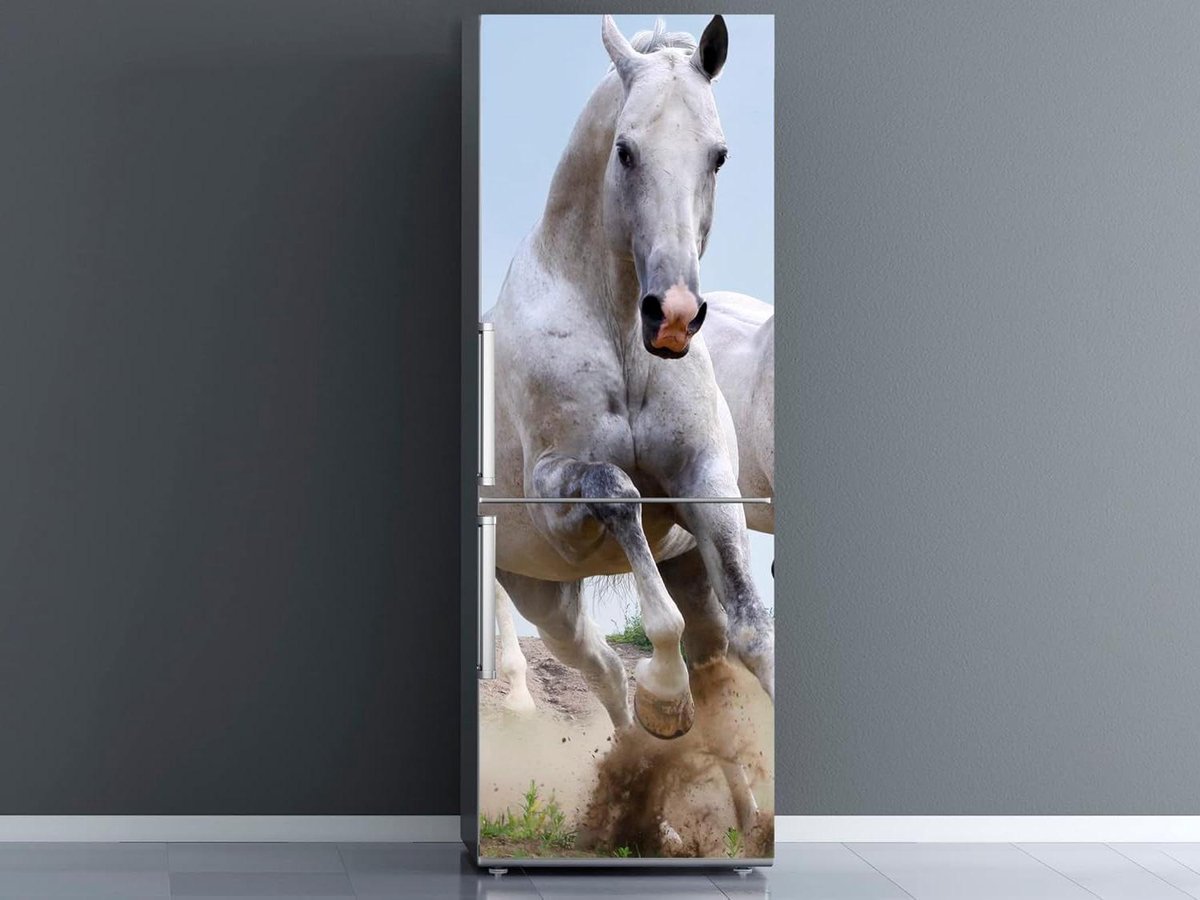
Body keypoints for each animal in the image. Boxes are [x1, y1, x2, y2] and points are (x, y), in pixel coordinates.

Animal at [483, 15, 773, 749]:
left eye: (718, 155)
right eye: (625, 150)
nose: (672, 315)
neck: (617, 337)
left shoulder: (707, 484)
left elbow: (755, 633)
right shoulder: (559, 502)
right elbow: (618, 492)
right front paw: (666, 696)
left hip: (645, 577)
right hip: (543, 595)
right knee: (608, 677)